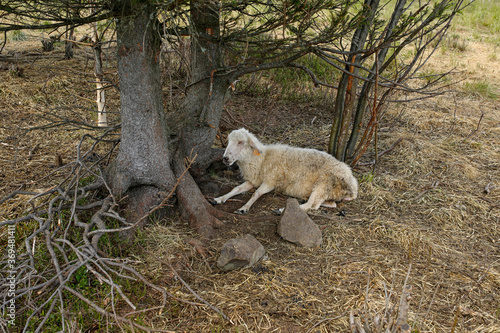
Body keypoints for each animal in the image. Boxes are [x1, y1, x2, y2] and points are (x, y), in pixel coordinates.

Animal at [213, 127, 358, 213]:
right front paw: (219, 199)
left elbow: (256, 193)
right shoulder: (253, 180)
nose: (225, 158)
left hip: (324, 183)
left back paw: (282, 210)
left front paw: (244, 207)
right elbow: (236, 189)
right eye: (228, 141)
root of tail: (353, 187)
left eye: (241, 142)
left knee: (311, 205)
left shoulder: (271, 181)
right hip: (330, 191)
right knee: (330, 204)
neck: (261, 160)